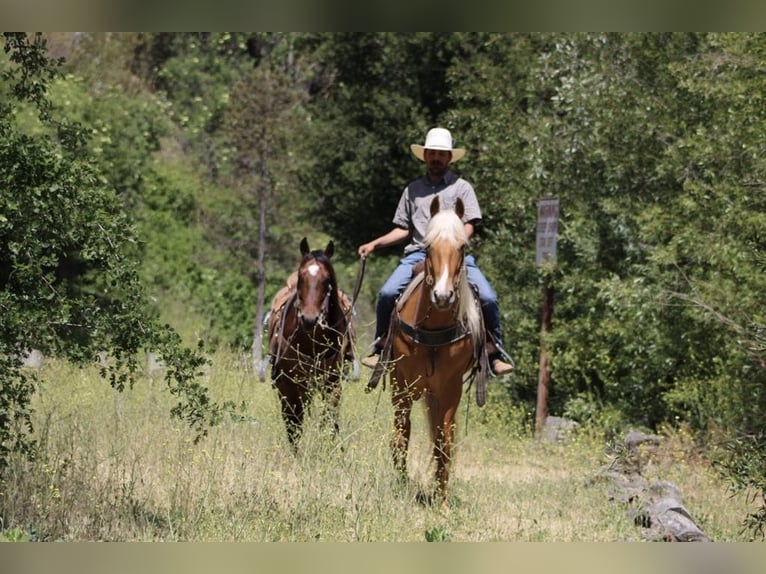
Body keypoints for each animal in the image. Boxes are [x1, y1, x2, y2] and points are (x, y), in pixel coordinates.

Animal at [265, 237, 356, 451]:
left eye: (327, 280)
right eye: (301, 277)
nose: (309, 319)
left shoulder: (333, 385)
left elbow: (328, 423)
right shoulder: (288, 385)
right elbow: (294, 425)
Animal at [369, 196, 489, 505]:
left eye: (461, 247)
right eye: (428, 247)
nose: (443, 296)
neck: (433, 331)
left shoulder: (450, 389)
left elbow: (443, 442)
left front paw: (442, 500)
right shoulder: (401, 384)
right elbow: (401, 436)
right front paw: (401, 486)